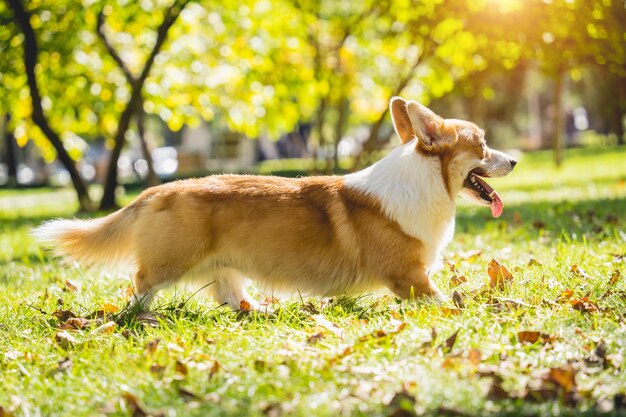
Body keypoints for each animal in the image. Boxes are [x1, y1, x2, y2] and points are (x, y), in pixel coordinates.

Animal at [31, 97, 516, 310]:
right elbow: (448, 302)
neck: (425, 183)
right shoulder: (409, 278)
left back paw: (266, 310)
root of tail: (157, 191)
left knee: (233, 299)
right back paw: (138, 316)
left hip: (224, 266)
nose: (513, 159)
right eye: (482, 144)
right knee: (141, 283)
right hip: (172, 262)